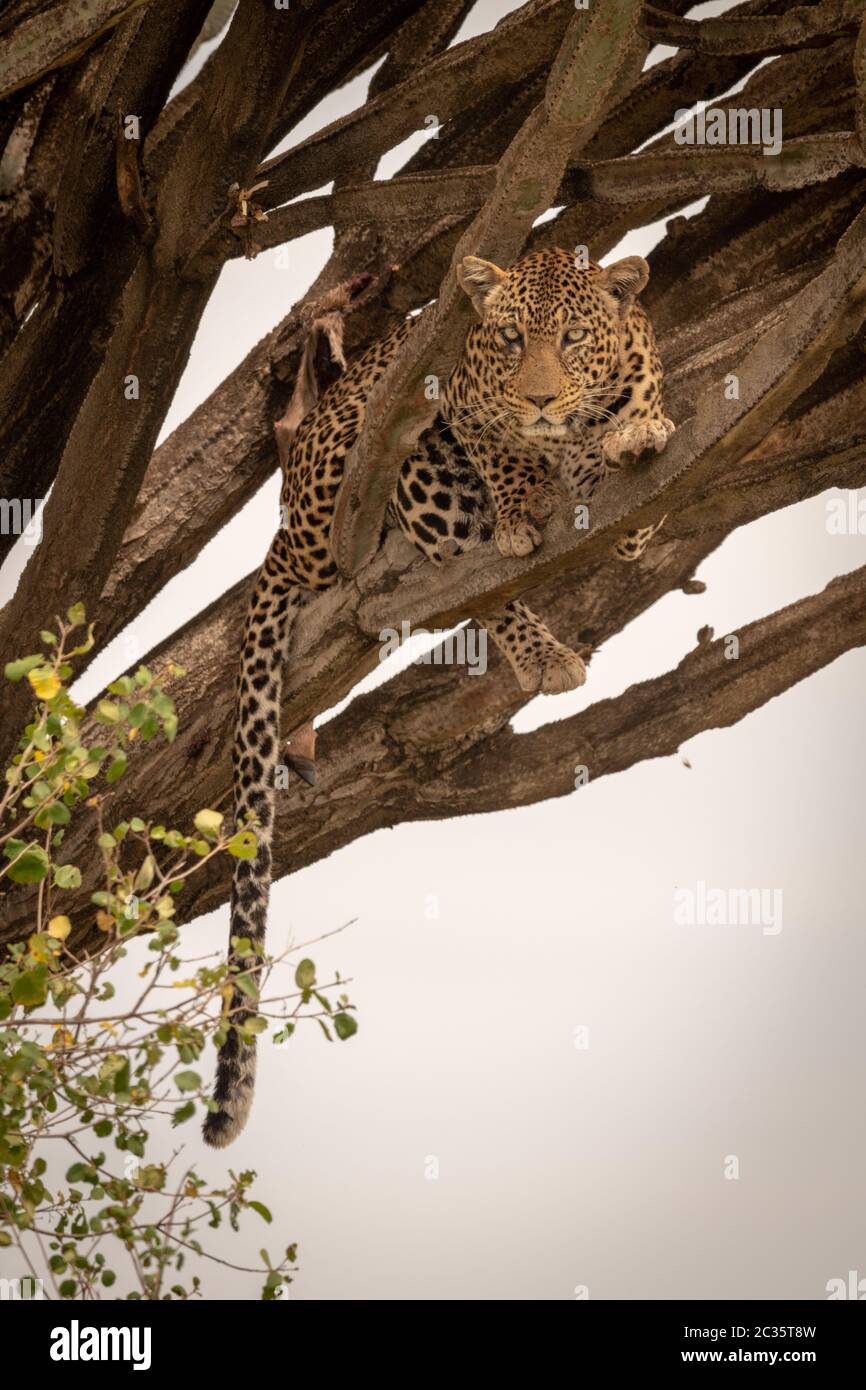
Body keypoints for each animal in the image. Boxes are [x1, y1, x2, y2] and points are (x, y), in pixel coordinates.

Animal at [203, 246, 675, 1147]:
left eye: (573, 337)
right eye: (509, 338)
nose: (539, 399)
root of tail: (284, 528)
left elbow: (627, 488)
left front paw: (627, 442)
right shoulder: (452, 404)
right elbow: (501, 464)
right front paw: (521, 508)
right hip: (377, 457)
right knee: (457, 562)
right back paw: (542, 648)